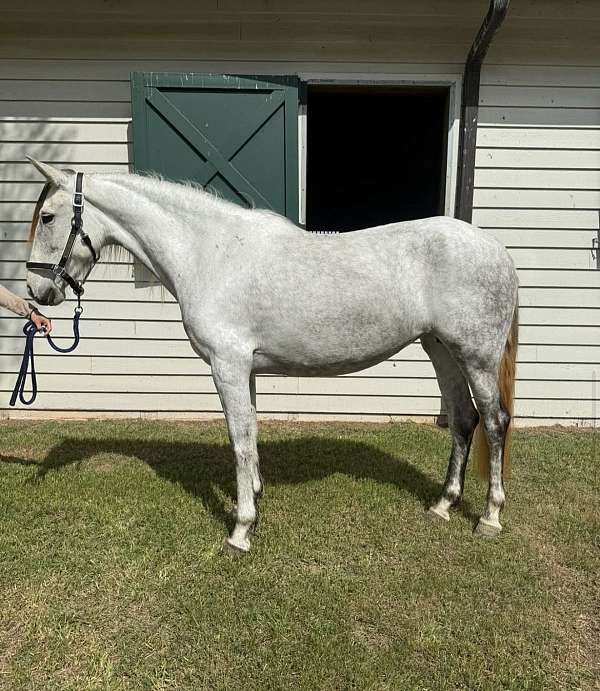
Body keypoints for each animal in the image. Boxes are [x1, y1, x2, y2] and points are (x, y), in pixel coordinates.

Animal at [25, 159, 519, 554]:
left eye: (47, 217)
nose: (37, 291)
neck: (209, 253)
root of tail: (497, 250)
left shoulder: (227, 365)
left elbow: (239, 440)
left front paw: (241, 530)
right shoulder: (246, 369)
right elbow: (253, 432)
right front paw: (256, 497)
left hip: (475, 356)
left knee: (494, 422)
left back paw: (490, 517)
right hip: (441, 350)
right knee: (463, 420)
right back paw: (442, 505)